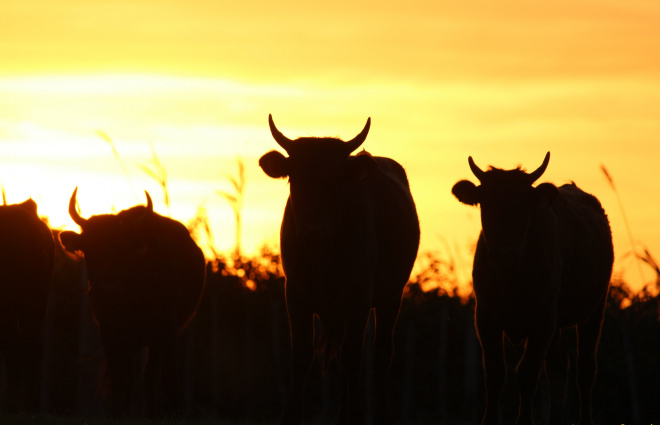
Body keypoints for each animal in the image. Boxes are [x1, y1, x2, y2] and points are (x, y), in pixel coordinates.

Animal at [454, 153, 612, 424]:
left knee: (585, 368)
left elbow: (527, 373)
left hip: (594, 310)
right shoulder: (485, 317)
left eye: (523, 207)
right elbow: (495, 373)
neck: (511, 278)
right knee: (559, 365)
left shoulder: (541, 321)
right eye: (486, 204)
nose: (504, 252)